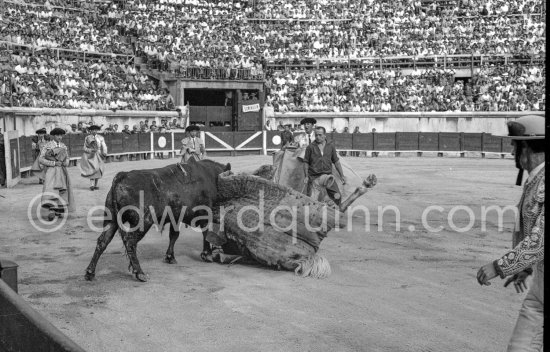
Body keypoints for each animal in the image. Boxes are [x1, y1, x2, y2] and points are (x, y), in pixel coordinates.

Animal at [85, 160, 232, 284]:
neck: (212, 177)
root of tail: (122, 176)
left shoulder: (176, 218)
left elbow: (174, 235)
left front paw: (170, 257)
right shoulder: (205, 214)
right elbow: (206, 233)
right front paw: (207, 255)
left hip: (111, 220)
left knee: (103, 241)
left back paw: (90, 272)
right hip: (143, 222)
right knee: (130, 242)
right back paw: (140, 273)